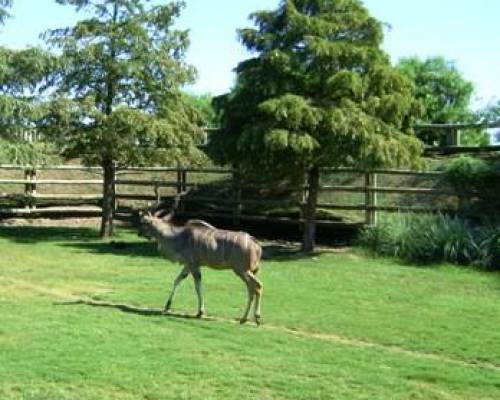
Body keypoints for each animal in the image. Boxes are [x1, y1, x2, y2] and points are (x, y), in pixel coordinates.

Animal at [137, 193, 262, 324]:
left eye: (143, 222)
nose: (138, 233)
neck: (178, 237)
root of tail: (256, 244)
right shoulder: (189, 264)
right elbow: (177, 280)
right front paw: (167, 306)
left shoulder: (193, 264)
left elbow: (197, 286)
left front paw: (200, 312)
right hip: (248, 271)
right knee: (251, 289)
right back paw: (245, 318)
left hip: (241, 270)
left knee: (257, 286)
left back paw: (254, 318)